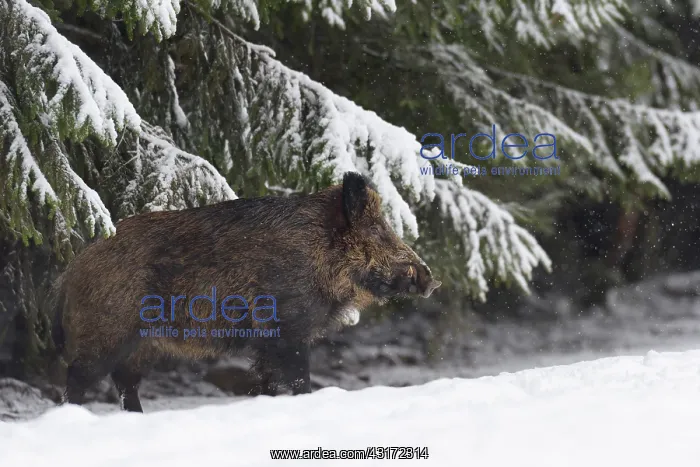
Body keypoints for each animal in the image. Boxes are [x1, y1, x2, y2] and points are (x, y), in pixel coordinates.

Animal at [50, 172, 441, 412]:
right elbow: (298, 377)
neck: (321, 253)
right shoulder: (286, 327)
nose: (430, 279)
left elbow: (267, 380)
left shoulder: (267, 341)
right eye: (377, 230)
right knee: (79, 377)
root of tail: (70, 269)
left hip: (142, 343)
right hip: (106, 331)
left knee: (124, 381)